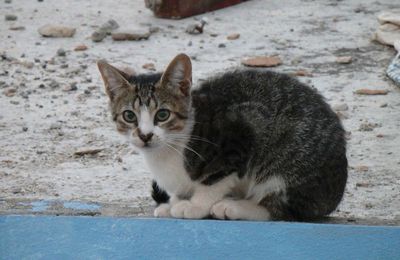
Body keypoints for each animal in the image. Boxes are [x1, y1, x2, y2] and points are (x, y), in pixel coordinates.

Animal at [97, 53, 346, 220]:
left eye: (163, 114)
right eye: (129, 116)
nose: (145, 135)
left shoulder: (242, 132)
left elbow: (215, 181)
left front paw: (195, 206)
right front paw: (174, 202)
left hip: (289, 157)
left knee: (283, 209)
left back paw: (235, 207)